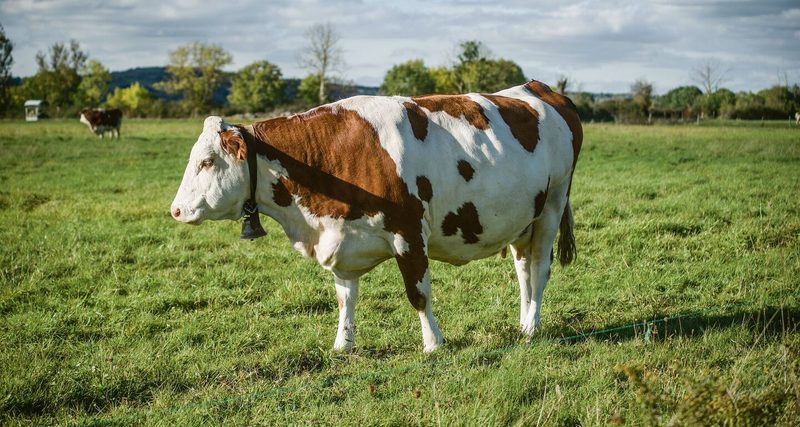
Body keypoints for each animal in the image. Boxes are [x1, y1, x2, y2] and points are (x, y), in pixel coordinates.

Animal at [170, 80, 582, 353]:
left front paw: (433, 344)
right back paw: (524, 322)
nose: (175, 209)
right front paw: (343, 345)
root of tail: (540, 88)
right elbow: (345, 298)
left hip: (553, 204)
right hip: (522, 216)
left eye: (207, 162)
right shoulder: (340, 238)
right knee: (523, 269)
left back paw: (532, 325)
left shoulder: (409, 232)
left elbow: (418, 293)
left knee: (540, 268)